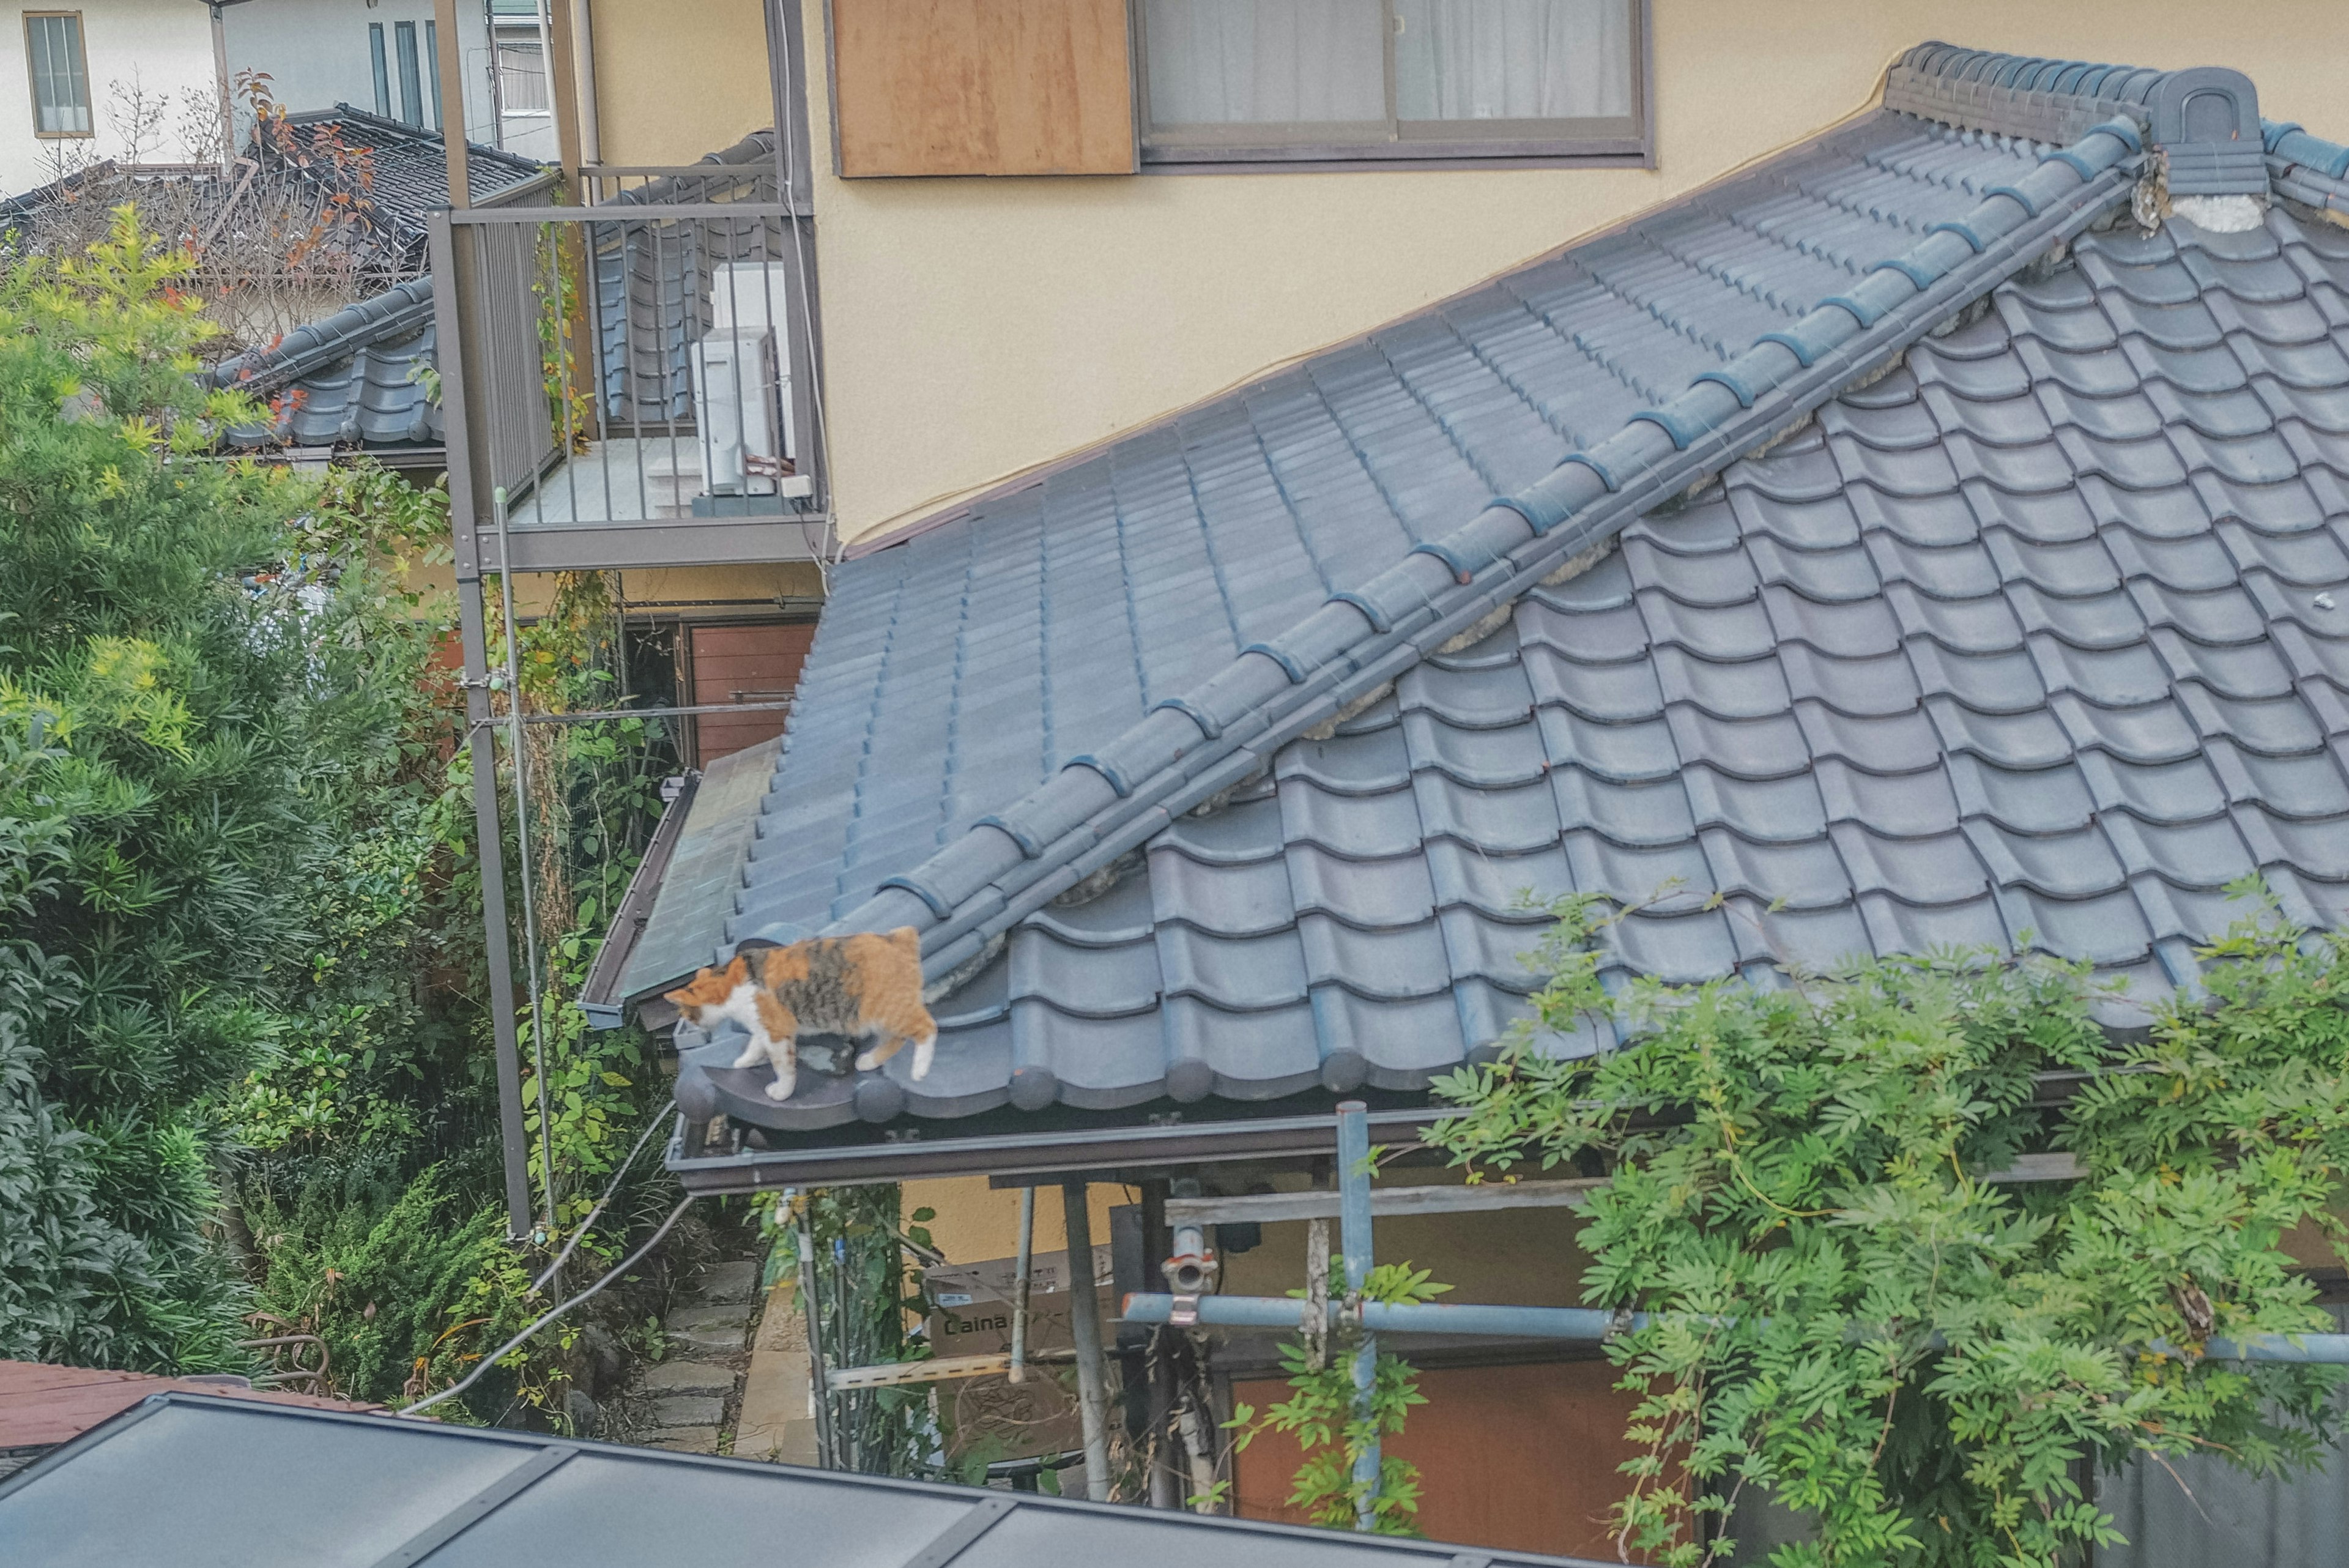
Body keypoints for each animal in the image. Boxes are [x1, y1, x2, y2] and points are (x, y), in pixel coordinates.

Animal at [662, 931, 935, 1105]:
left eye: (686, 1013)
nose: (691, 1024)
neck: (730, 985)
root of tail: (900, 937)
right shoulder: (765, 1026)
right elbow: (754, 1046)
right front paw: (744, 1062)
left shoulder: (776, 1031)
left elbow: (783, 1067)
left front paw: (782, 1091)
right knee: (897, 1038)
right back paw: (869, 1061)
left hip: (884, 1009)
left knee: (927, 1027)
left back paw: (920, 1070)